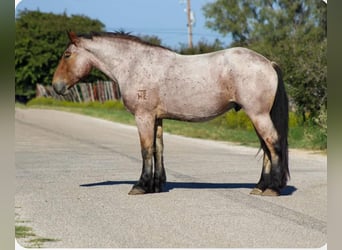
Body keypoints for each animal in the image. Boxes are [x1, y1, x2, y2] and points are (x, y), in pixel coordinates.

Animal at [52, 31, 288, 196]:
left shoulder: (144, 117)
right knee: (267, 149)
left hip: (258, 115)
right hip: (257, 116)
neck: (134, 64)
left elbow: (146, 150)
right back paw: (260, 186)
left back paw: (273, 189)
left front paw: (140, 186)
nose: (56, 86)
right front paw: (156, 185)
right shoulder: (157, 119)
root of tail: (268, 63)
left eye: (67, 54)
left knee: (273, 145)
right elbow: (159, 149)